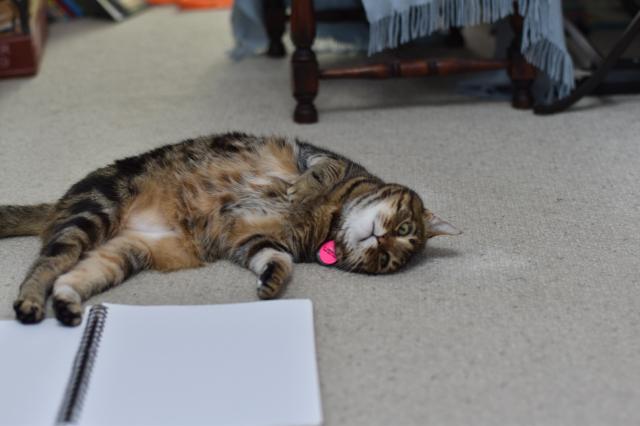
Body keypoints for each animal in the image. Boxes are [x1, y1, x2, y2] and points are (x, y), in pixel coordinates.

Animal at [0, 133, 460, 326]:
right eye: (403, 226)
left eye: (385, 261)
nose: (381, 242)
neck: (327, 222)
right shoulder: (318, 154)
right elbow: (320, 171)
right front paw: (300, 188)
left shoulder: (248, 238)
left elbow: (274, 259)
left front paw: (271, 283)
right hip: (95, 208)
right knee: (45, 265)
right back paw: (30, 303)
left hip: (125, 252)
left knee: (72, 277)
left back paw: (66, 306)